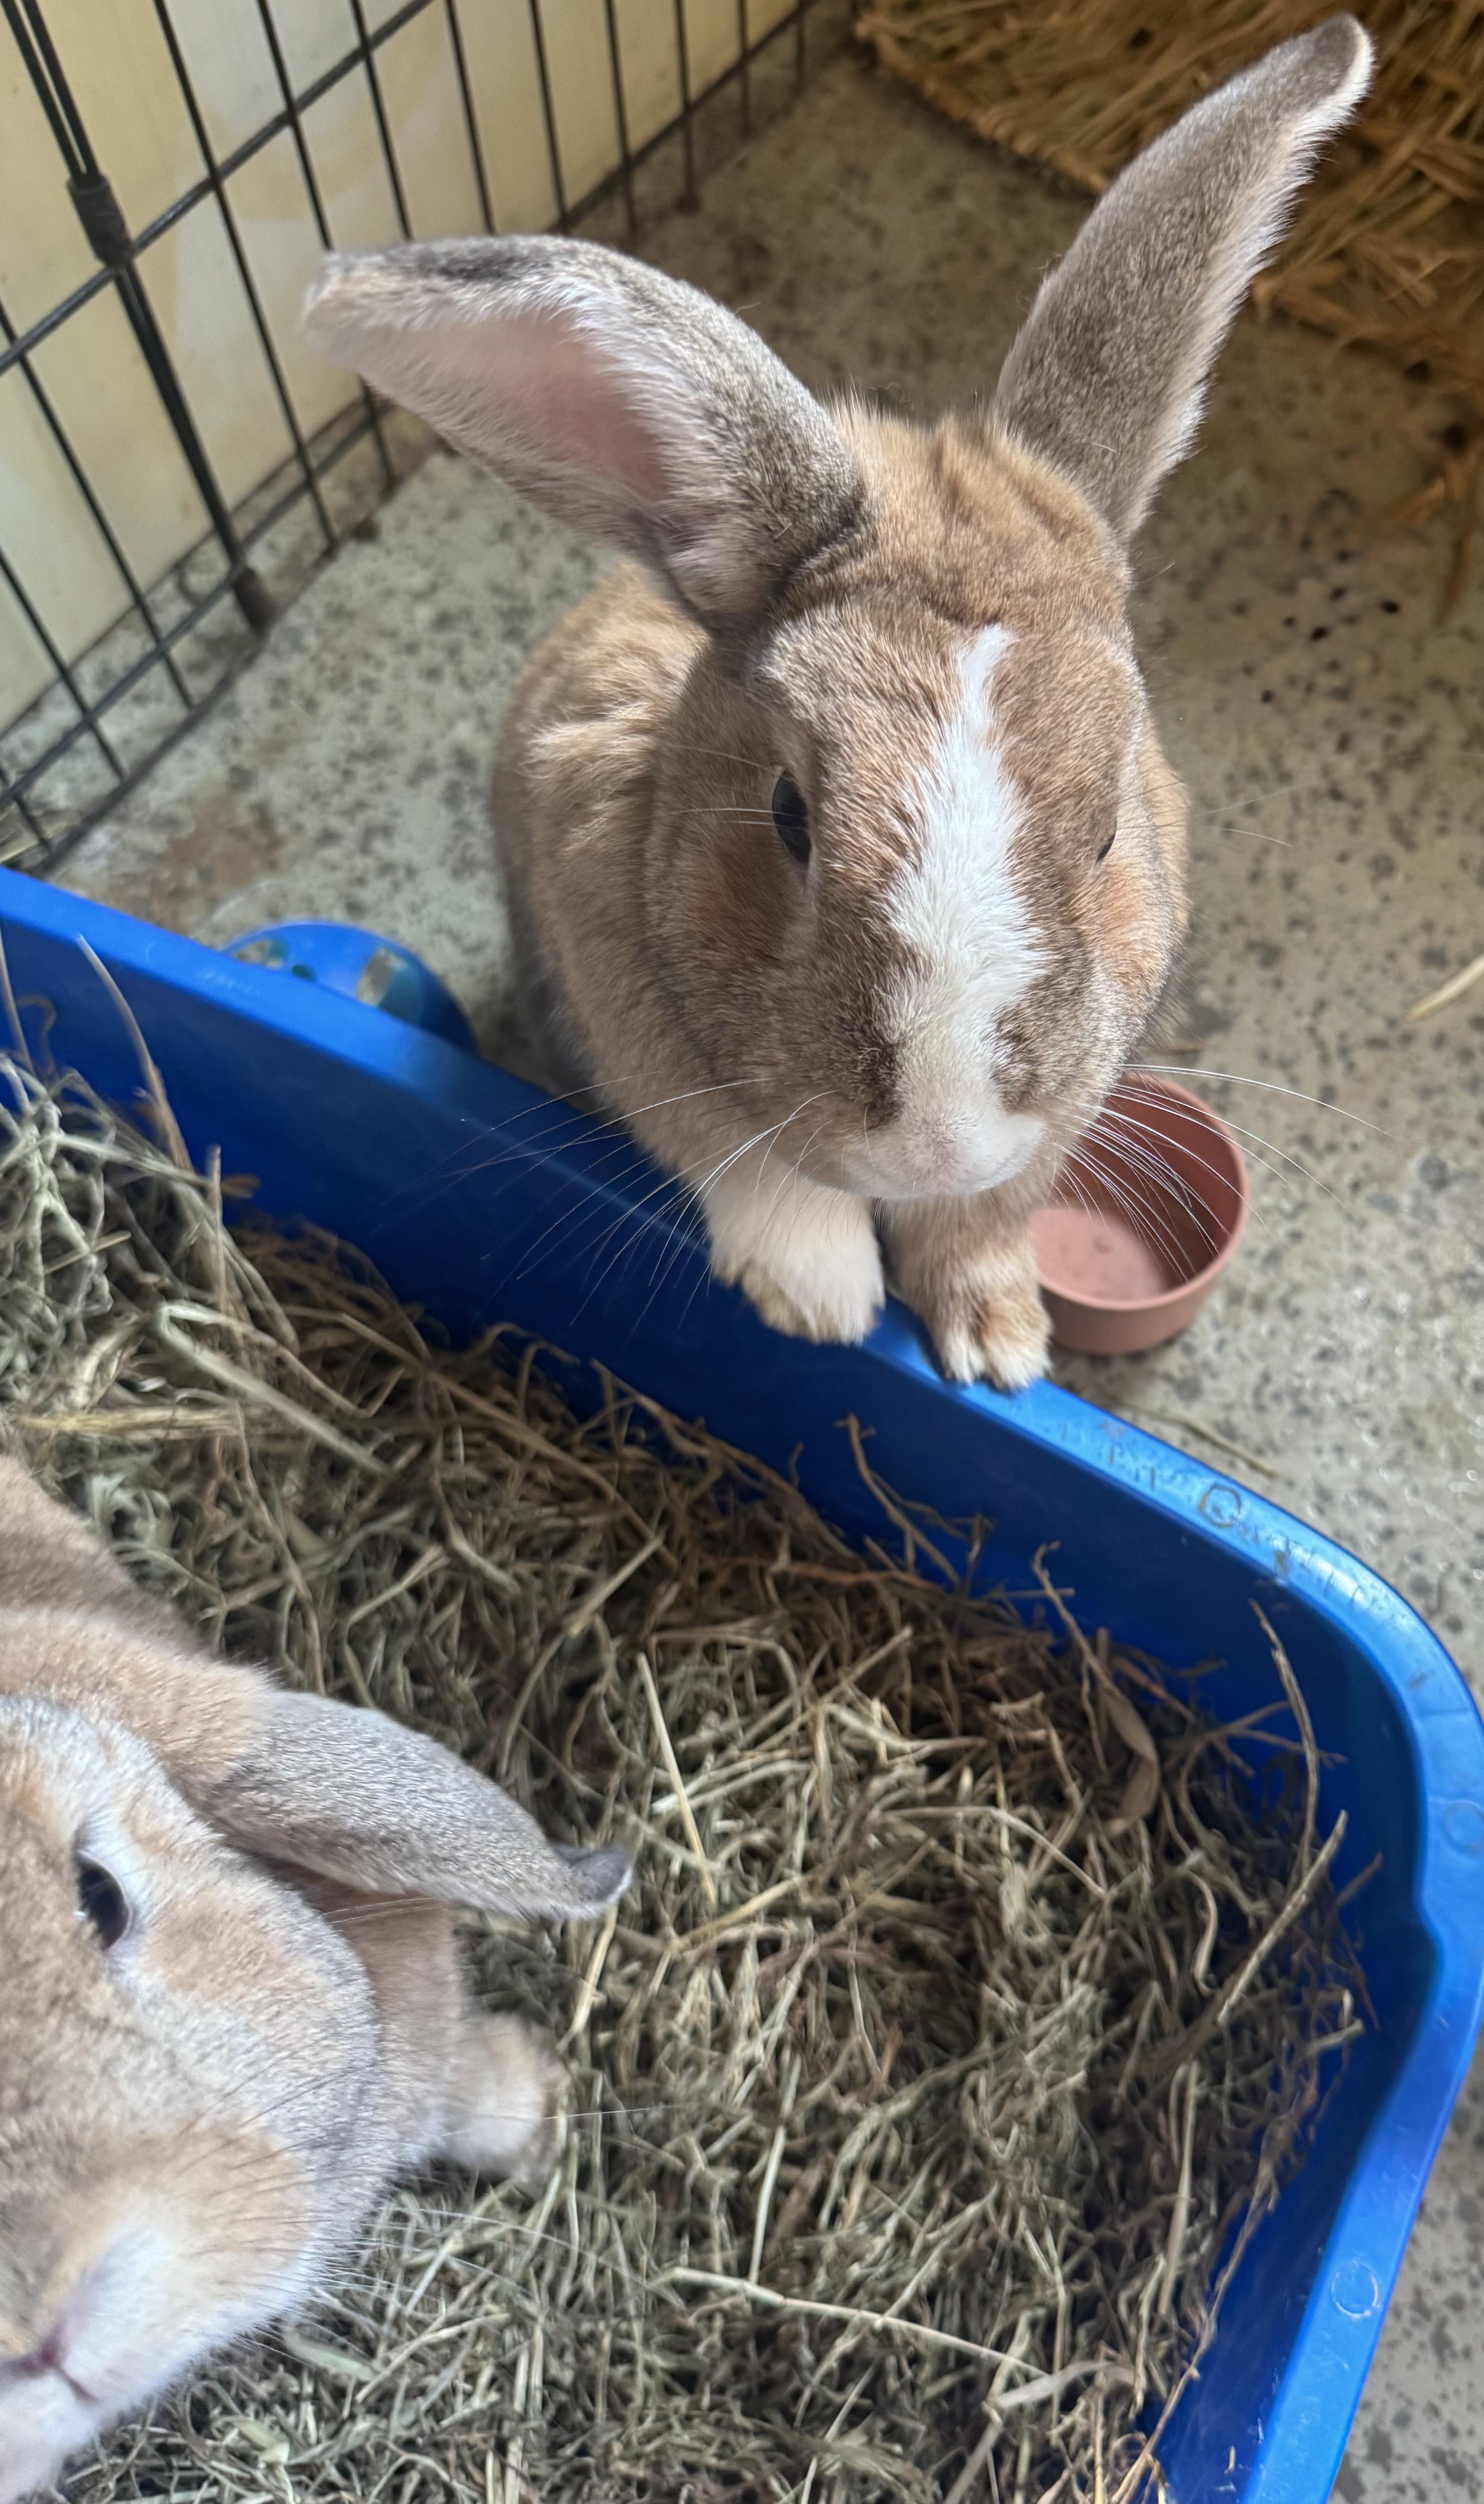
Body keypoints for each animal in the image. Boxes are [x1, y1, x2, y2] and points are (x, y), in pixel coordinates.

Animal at [305, 18, 1371, 1391]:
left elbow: (984, 1219)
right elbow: (742, 1159)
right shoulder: (631, 991)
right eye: (789, 813)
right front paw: (820, 1301)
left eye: (1106, 835)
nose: (938, 1141)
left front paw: (1000, 1344)